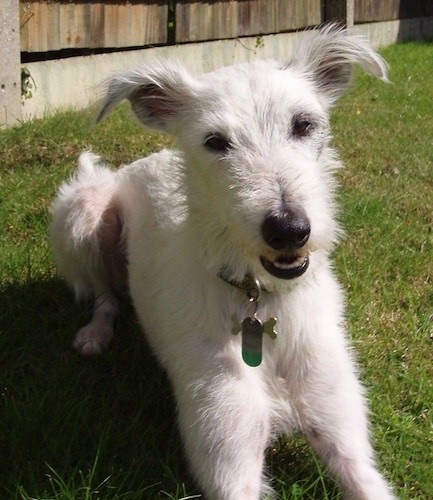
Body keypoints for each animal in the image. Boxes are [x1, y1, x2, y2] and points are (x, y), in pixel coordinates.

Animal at [49, 26, 394, 500]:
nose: (289, 229)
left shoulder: (344, 433)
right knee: (104, 295)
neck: (261, 301)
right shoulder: (229, 456)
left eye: (303, 124)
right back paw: (95, 332)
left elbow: (365, 477)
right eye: (215, 141)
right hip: (81, 210)